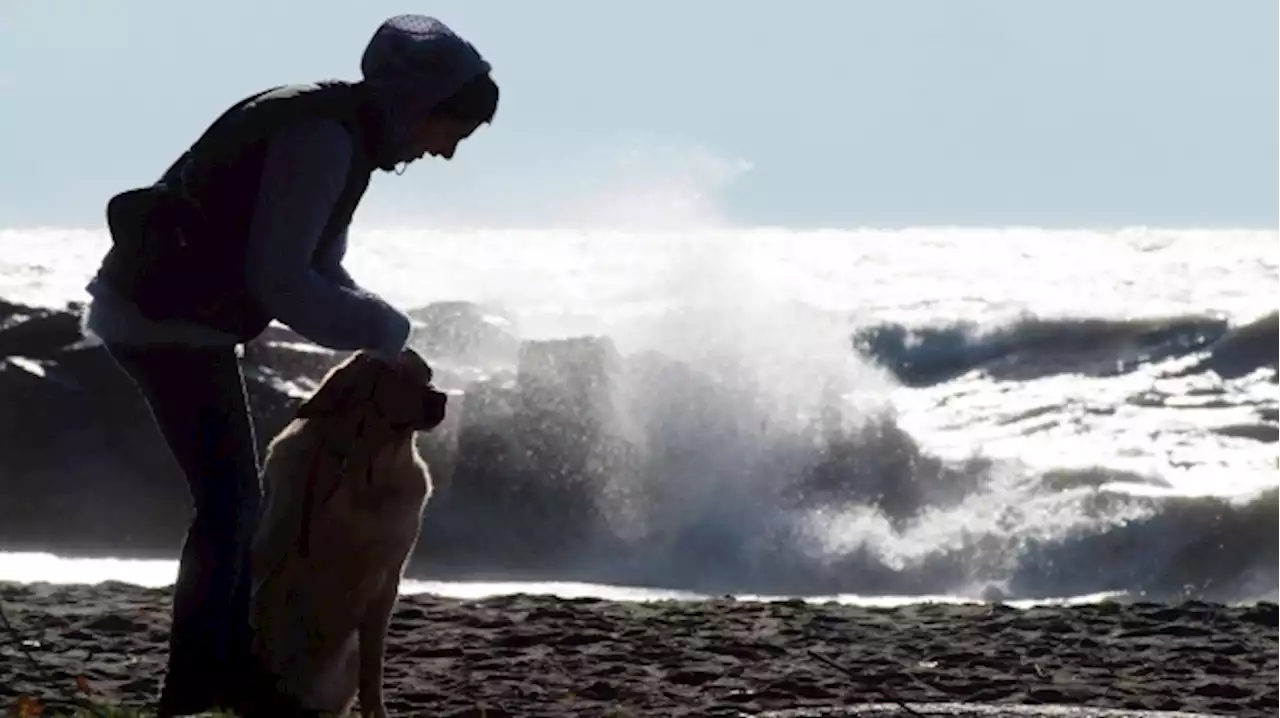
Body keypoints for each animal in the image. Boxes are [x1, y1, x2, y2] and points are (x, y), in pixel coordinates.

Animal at [247, 348, 448, 716]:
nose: (441, 397)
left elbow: (373, 672)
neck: (370, 469)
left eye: (426, 374)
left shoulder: (388, 580)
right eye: (398, 377)